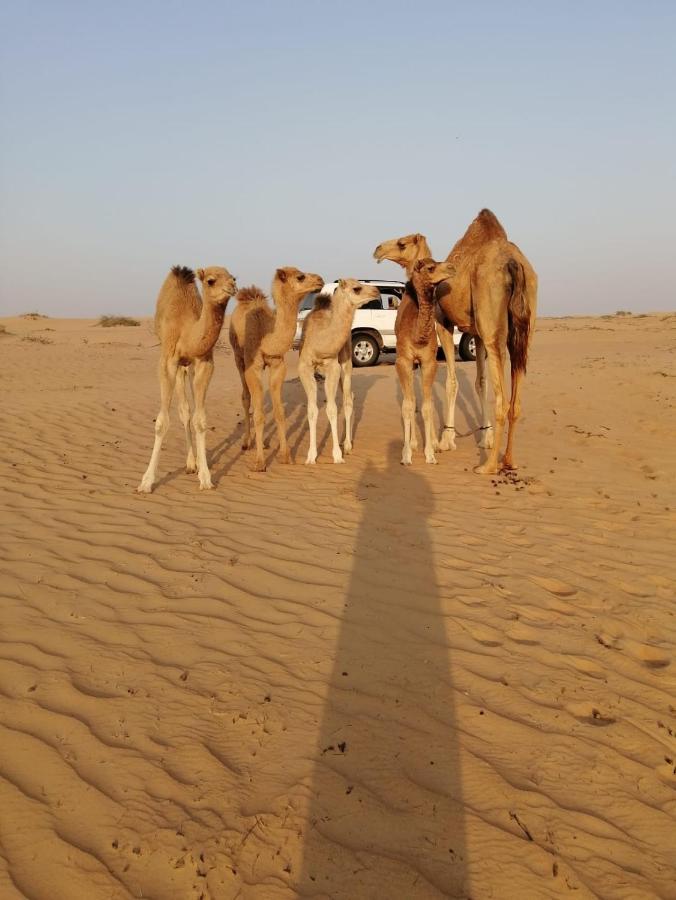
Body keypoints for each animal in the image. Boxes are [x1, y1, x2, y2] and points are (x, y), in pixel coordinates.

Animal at [136, 264, 236, 496]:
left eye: (233, 277)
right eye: (211, 280)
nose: (232, 287)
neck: (186, 331)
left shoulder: (204, 363)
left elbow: (200, 420)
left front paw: (206, 478)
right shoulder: (168, 362)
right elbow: (162, 422)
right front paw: (146, 482)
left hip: (187, 368)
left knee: (187, 410)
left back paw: (194, 462)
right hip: (177, 365)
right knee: (183, 410)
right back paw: (190, 462)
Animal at [230, 266, 324, 472]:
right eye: (300, 277)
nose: (320, 280)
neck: (267, 339)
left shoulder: (277, 365)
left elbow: (280, 412)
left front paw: (286, 455)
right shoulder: (252, 367)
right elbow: (258, 414)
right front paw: (259, 462)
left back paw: (264, 442)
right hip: (238, 358)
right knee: (246, 397)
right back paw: (247, 442)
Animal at [298, 280, 378, 464]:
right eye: (357, 288)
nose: (377, 291)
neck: (320, 341)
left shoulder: (333, 368)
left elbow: (332, 410)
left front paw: (337, 455)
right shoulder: (304, 368)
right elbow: (312, 410)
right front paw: (311, 456)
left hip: (346, 364)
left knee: (348, 400)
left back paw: (347, 445)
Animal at [390, 258, 454, 464]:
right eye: (431, 268)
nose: (452, 267)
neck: (417, 335)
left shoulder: (429, 362)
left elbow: (427, 406)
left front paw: (430, 454)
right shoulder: (403, 361)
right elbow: (408, 405)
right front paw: (406, 454)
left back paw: (433, 442)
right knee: (411, 400)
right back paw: (413, 443)